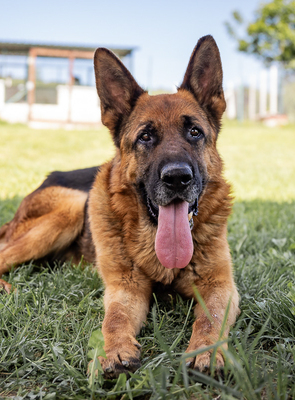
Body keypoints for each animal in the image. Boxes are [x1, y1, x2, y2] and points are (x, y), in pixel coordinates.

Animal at [0, 35, 239, 378]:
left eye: (195, 132)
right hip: (70, 208)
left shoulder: (220, 285)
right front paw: (112, 351)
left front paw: (206, 351)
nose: (177, 178)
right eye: (146, 136)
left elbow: (211, 318)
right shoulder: (126, 287)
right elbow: (114, 318)